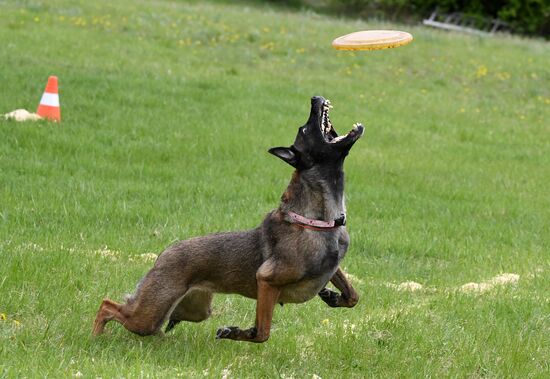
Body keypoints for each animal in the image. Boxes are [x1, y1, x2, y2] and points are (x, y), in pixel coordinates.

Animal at [92, 95, 364, 344]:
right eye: (305, 130)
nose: (315, 98)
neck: (319, 221)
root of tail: (164, 253)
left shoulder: (332, 268)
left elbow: (353, 296)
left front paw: (332, 296)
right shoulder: (267, 280)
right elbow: (262, 333)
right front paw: (235, 332)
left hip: (194, 310)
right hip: (149, 314)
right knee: (108, 306)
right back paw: (96, 336)